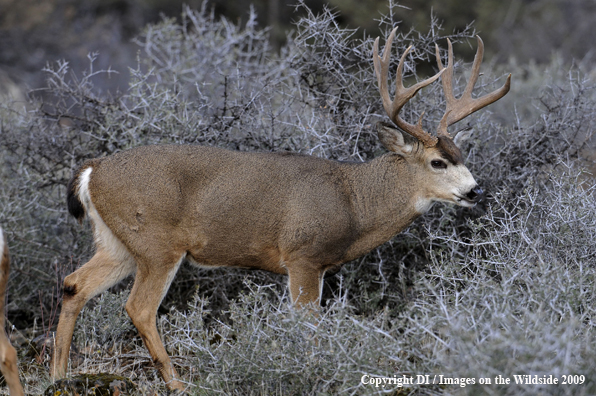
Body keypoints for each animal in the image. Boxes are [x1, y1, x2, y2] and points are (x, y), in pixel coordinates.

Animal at [51, 27, 510, 390]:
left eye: (462, 154)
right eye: (437, 162)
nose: (475, 191)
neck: (353, 202)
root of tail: (92, 170)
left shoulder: (318, 264)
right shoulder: (303, 255)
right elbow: (308, 329)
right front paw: (314, 374)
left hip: (118, 243)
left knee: (74, 284)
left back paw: (58, 376)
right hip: (157, 243)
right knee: (139, 307)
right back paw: (179, 384)